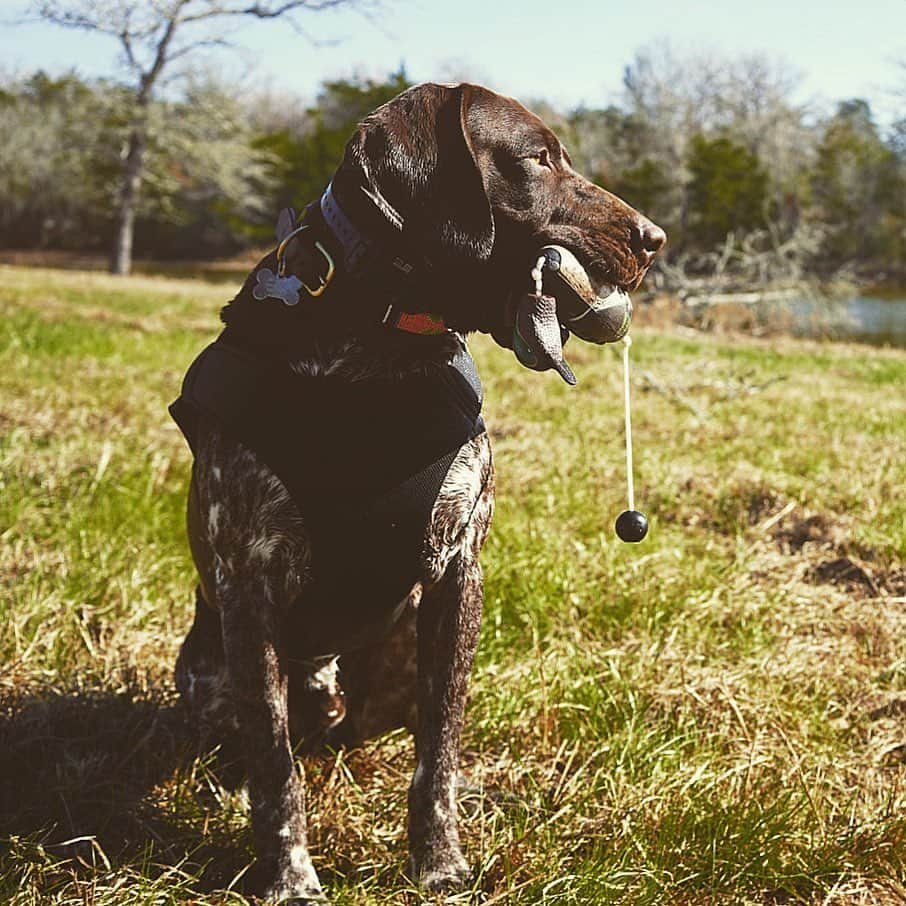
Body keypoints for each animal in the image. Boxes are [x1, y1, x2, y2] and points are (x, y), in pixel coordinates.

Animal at [171, 81, 664, 900]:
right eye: (538, 159)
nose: (655, 238)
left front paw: (439, 862)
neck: (381, 343)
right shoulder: (249, 585)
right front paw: (288, 876)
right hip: (209, 676)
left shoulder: (458, 575)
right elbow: (273, 763)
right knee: (262, 745)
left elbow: (438, 751)